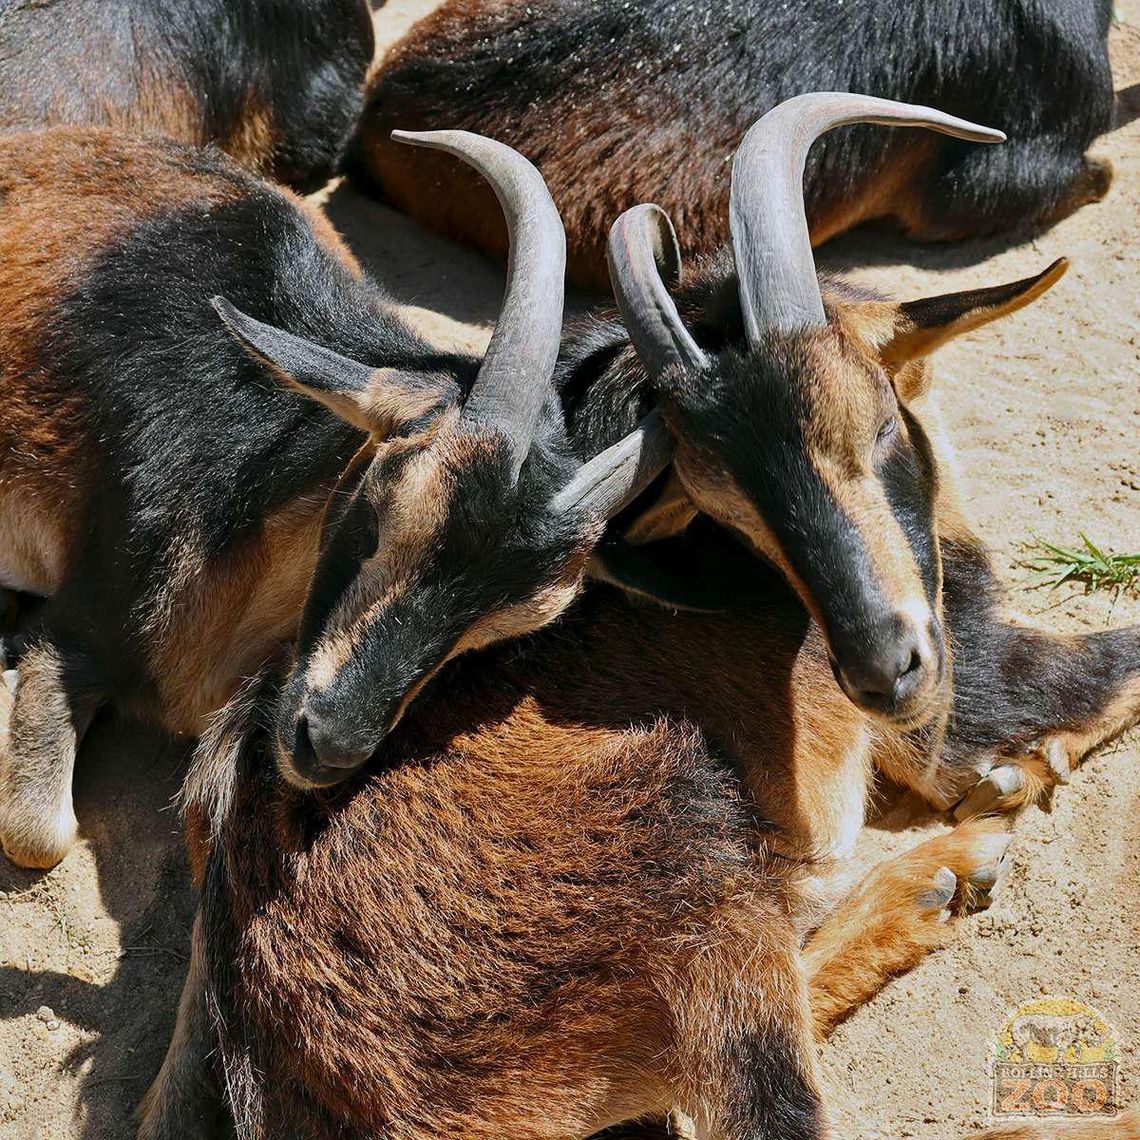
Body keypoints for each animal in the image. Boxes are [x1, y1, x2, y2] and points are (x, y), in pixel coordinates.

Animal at [139, 97, 1140, 1140]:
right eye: (728, 505)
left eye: (873, 430)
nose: (885, 670)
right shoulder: (973, 686)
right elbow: (1113, 669)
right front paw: (1017, 771)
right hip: (697, 867)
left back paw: (942, 882)